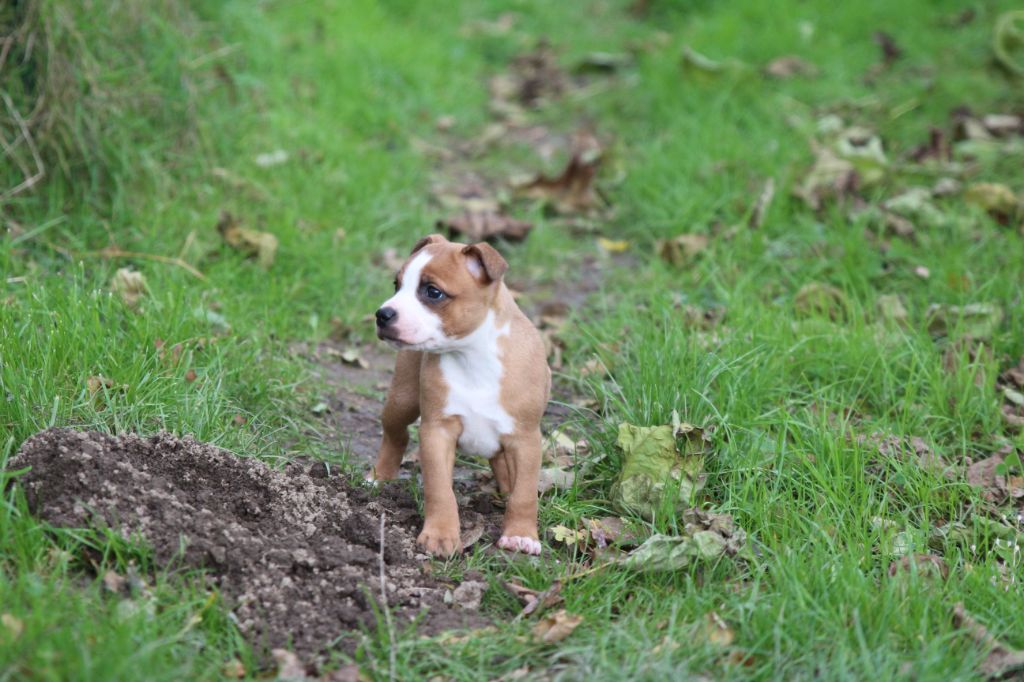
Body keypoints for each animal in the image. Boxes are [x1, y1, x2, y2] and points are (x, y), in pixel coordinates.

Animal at [372, 232, 552, 552]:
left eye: (433, 292)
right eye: (396, 285)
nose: (383, 314)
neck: (472, 355)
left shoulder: (525, 438)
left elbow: (525, 492)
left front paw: (521, 534)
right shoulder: (437, 432)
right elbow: (440, 489)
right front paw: (440, 534)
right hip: (402, 399)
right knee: (395, 434)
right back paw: (380, 476)